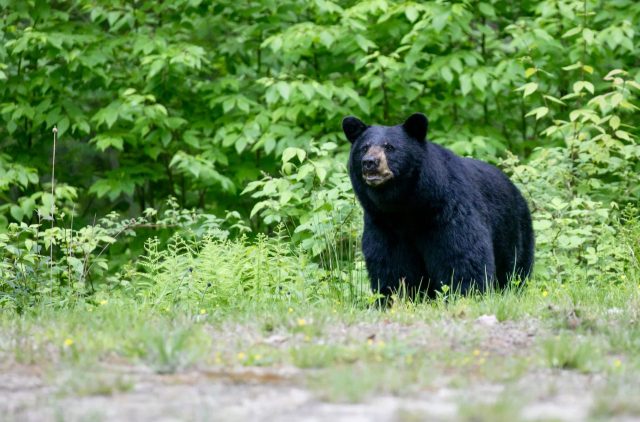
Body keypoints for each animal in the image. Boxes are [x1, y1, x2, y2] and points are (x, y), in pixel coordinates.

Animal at [342, 112, 534, 300]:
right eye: (364, 148)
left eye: (389, 147)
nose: (369, 162)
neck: (406, 206)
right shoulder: (383, 222)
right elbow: (389, 261)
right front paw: (393, 297)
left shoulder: (448, 210)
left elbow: (461, 253)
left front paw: (465, 294)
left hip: (513, 229)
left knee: (515, 267)